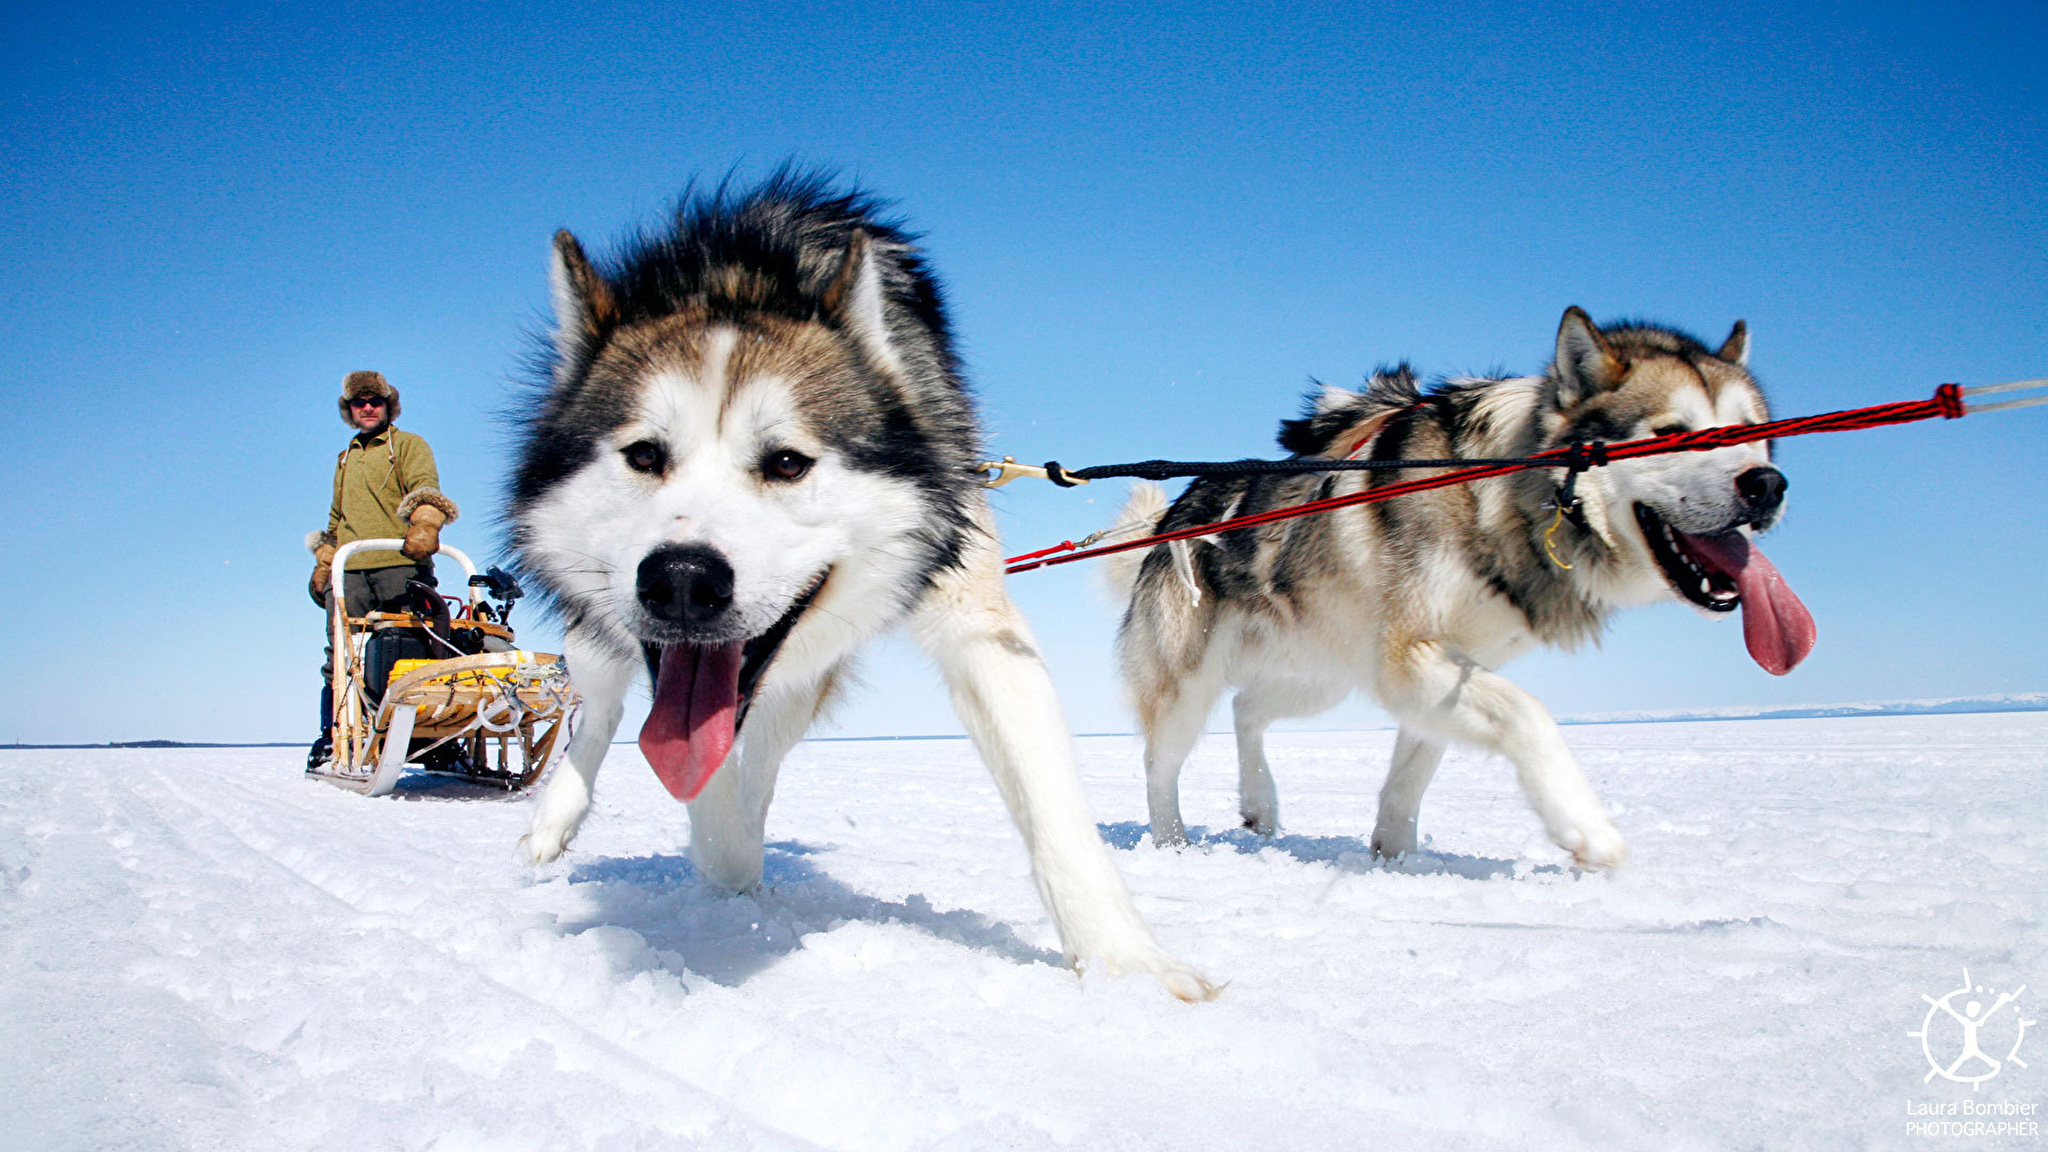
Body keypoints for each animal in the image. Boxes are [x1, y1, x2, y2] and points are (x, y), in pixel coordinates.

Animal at [512, 172, 1212, 996]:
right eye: (645, 455)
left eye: (788, 462)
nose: (682, 580)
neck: (742, 272)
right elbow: (686, 772)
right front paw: (718, 862)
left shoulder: (979, 626)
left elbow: (1053, 810)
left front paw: (1127, 963)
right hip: (601, 634)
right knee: (601, 713)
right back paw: (558, 819)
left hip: (802, 678)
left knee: (758, 761)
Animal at [1114, 309, 1818, 865]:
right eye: (1671, 434)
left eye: (1754, 431)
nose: (1767, 485)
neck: (1503, 493)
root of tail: (1175, 512)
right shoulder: (1412, 658)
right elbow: (1529, 715)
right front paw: (1585, 826)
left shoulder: (1446, 668)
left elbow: (1414, 772)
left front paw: (1397, 857)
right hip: (1190, 684)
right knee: (1159, 764)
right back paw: (1172, 843)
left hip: (1326, 671)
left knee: (1248, 708)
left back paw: (1261, 802)